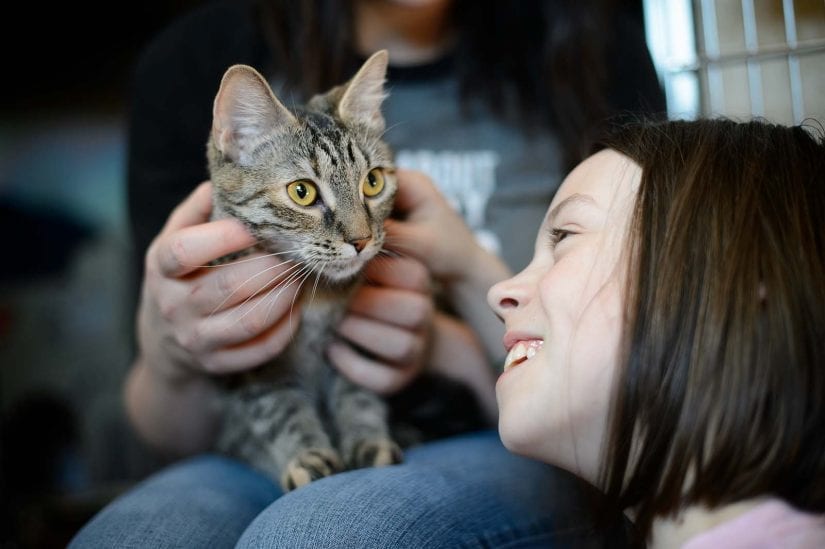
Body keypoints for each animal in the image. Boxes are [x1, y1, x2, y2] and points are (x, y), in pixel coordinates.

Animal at [204, 50, 400, 488]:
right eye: (302, 192)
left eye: (373, 182)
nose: (362, 240)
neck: (318, 295)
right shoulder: (251, 363)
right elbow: (281, 411)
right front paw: (308, 456)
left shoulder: (353, 343)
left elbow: (358, 394)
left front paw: (369, 441)